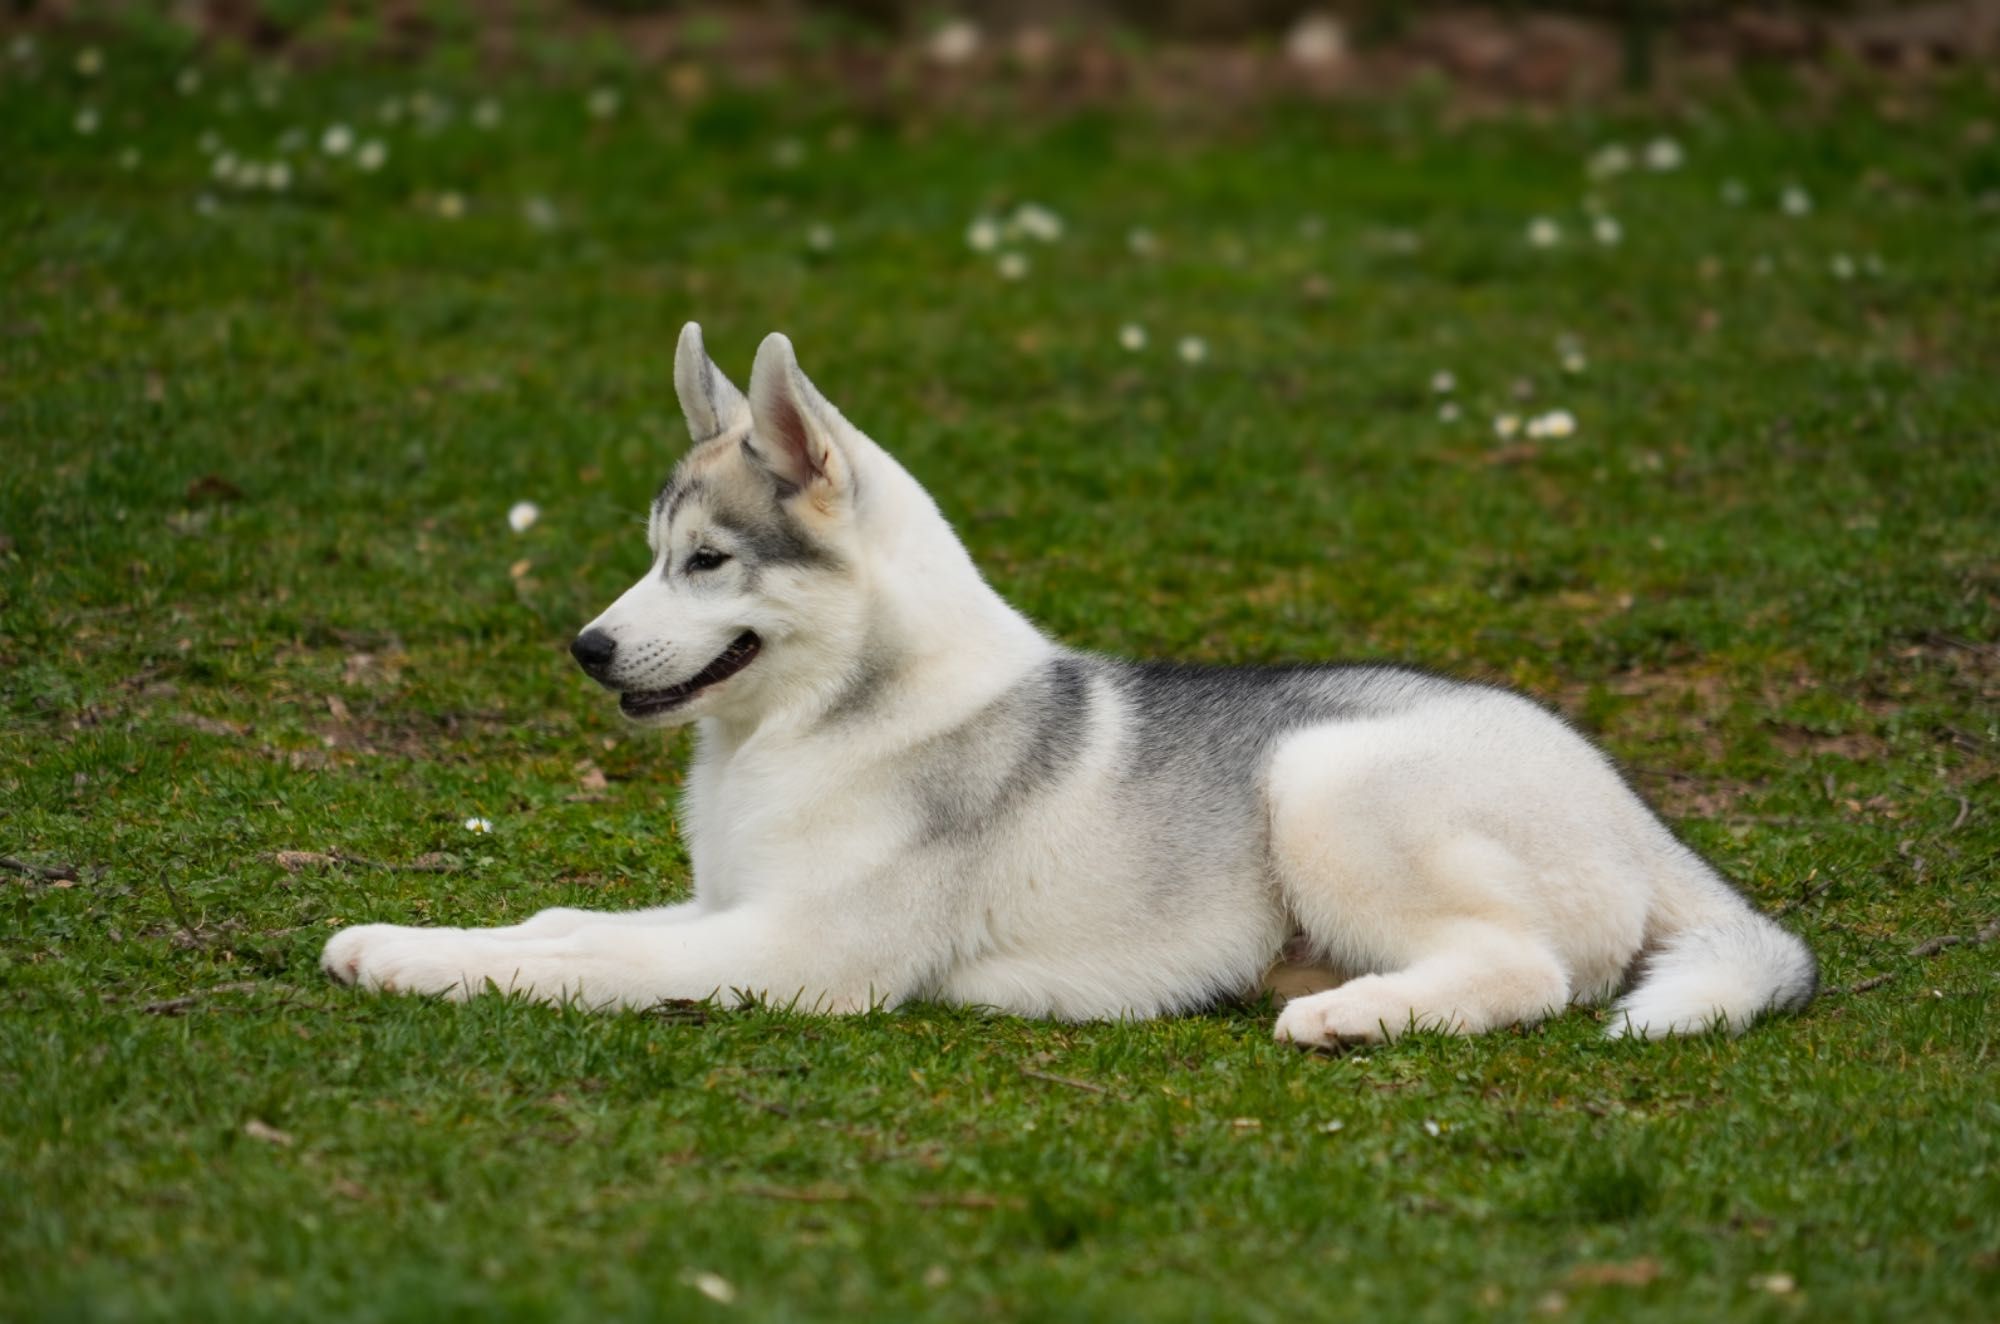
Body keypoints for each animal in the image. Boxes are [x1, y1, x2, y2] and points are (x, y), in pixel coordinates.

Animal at [320, 324, 1824, 1048]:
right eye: (649, 555)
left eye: (705, 561)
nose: (583, 647)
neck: (817, 726)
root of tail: (1631, 806)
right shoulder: (730, 908)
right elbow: (564, 921)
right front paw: (407, 936)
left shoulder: (796, 954)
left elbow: (588, 960)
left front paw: (411, 962)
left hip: (1320, 777)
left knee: (1529, 971)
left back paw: (1348, 1013)